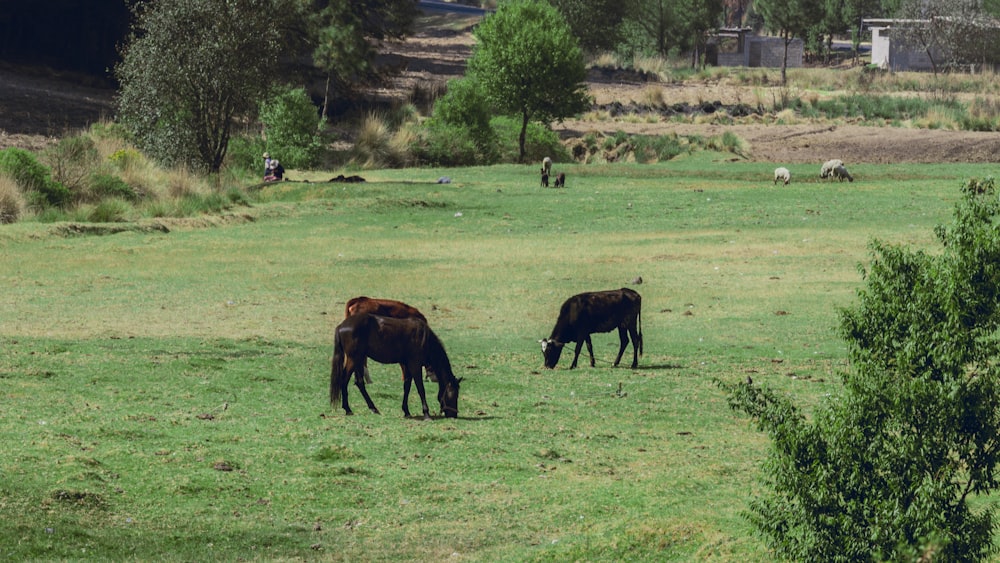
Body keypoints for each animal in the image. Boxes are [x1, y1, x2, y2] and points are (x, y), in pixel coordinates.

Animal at [332, 312, 464, 418]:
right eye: (453, 395)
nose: (454, 414)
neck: (424, 338)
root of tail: (341, 326)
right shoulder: (415, 365)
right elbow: (420, 388)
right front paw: (426, 413)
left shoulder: (406, 365)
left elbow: (407, 386)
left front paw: (406, 411)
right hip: (353, 359)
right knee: (344, 380)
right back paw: (348, 409)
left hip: (359, 359)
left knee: (359, 383)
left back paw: (373, 408)